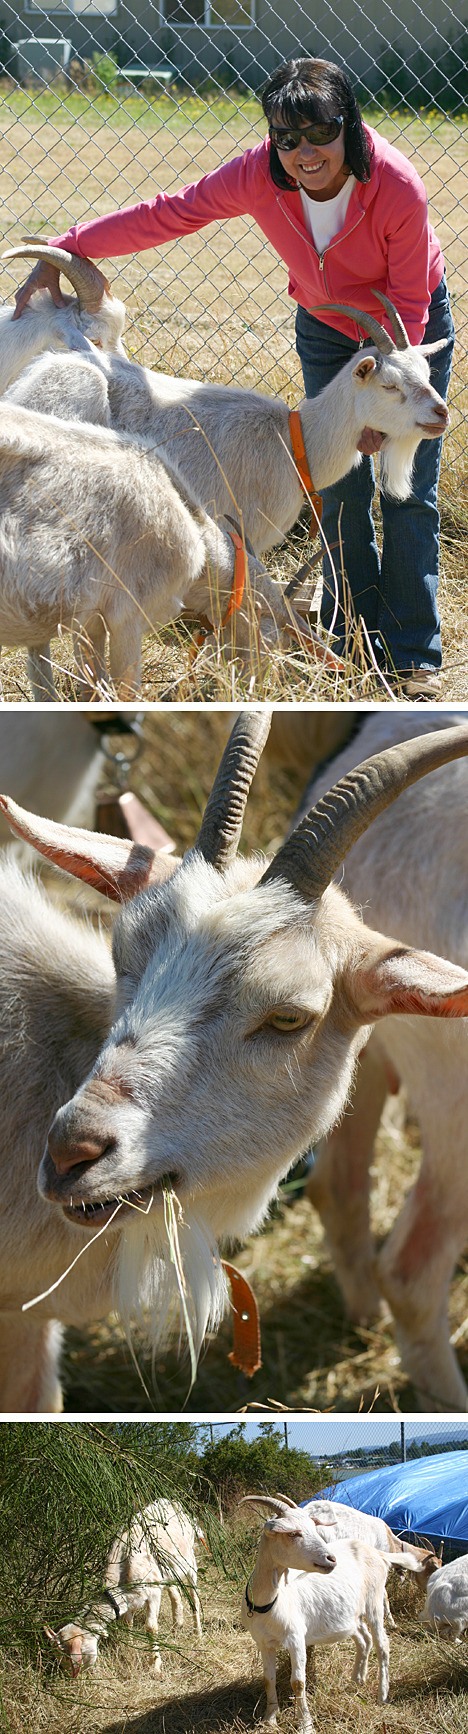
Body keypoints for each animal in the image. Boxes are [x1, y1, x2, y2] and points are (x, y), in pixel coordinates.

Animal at [44, 1498, 203, 1671]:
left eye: (67, 1659)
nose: (70, 1675)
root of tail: (172, 1502)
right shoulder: (129, 1600)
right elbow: (128, 1624)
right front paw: (129, 1649)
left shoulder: (153, 1593)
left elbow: (151, 1627)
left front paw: (155, 1666)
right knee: (175, 1592)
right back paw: (177, 1625)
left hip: (190, 1561)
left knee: (194, 1598)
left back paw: (198, 1633)